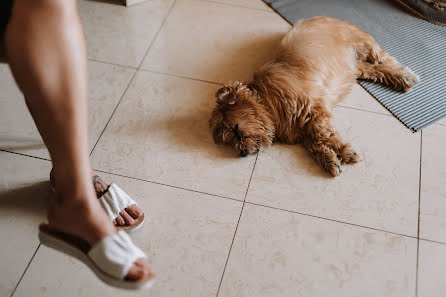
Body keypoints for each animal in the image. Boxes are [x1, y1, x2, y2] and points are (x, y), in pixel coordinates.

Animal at [209, 16, 418, 176]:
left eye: (236, 129)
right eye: (229, 140)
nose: (242, 152)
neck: (267, 101)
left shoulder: (315, 111)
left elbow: (323, 134)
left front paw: (345, 152)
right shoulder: (303, 130)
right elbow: (315, 143)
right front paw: (329, 160)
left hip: (363, 43)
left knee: (384, 57)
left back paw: (406, 74)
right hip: (352, 68)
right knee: (372, 69)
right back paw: (402, 79)